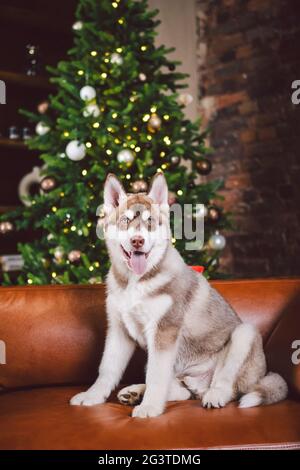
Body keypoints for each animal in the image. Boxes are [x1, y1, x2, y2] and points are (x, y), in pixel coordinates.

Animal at [71, 173, 288, 418]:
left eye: (150, 222)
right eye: (125, 221)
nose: (138, 241)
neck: (134, 282)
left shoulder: (164, 330)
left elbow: (156, 376)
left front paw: (150, 408)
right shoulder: (119, 329)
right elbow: (107, 368)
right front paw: (92, 396)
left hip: (245, 335)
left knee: (228, 386)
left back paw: (214, 395)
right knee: (183, 391)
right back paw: (135, 393)